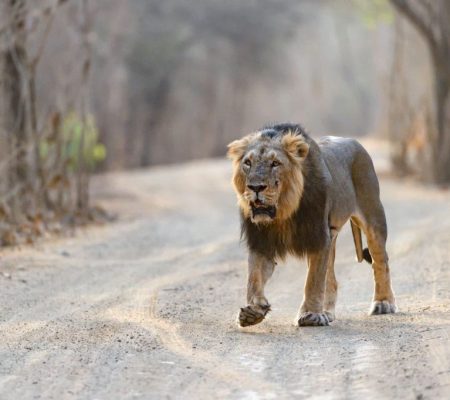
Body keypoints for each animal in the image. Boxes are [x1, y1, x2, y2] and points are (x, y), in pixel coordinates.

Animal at [227, 123, 396, 326]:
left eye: (275, 163)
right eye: (247, 163)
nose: (255, 187)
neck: (283, 212)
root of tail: (354, 142)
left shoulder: (318, 237)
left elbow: (313, 281)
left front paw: (310, 315)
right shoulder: (260, 241)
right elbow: (254, 277)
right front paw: (253, 310)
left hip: (373, 217)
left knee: (380, 262)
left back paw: (383, 303)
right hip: (332, 235)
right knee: (331, 278)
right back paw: (327, 312)